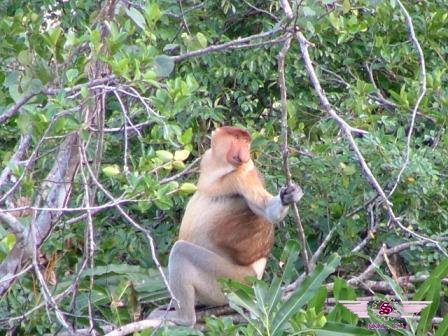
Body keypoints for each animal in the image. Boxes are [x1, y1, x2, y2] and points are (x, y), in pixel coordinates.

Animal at [151, 125, 304, 326]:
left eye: (246, 141)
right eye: (237, 139)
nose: (245, 152)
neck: (221, 168)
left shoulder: (244, 174)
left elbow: (266, 210)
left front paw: (289, 196)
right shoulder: (208, 158)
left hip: (231, 281)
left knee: (181, 252)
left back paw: (184, 319)